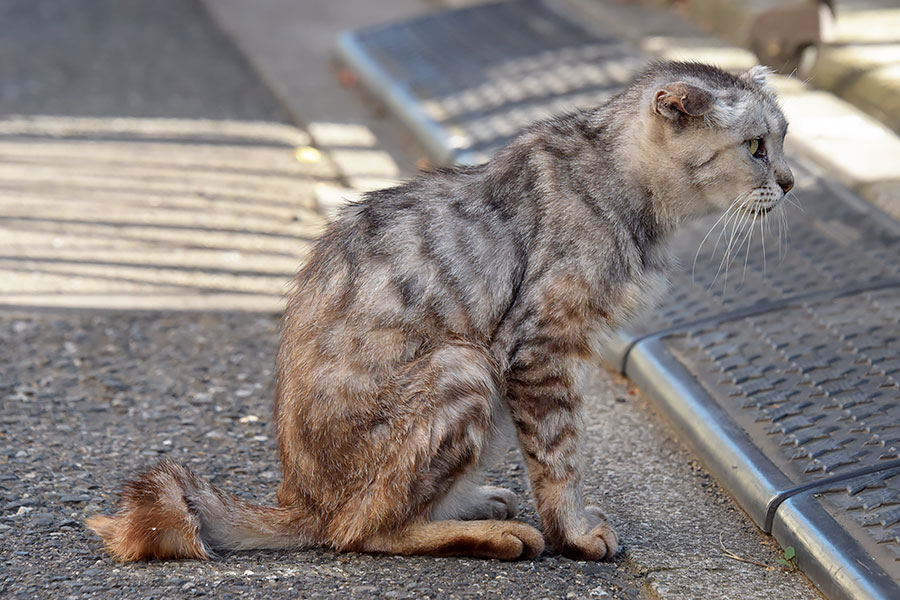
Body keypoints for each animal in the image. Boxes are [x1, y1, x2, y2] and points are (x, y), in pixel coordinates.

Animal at [86, 61, 796, 564]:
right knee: (358, 530)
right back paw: (492, 536)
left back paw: (475, 503)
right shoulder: (542, 350)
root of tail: (298, 498)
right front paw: (574, 533)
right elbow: (561, 456)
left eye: (784, 142)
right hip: (464, 364)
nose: (790, 183)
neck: (637, 203)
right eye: (756, 147)